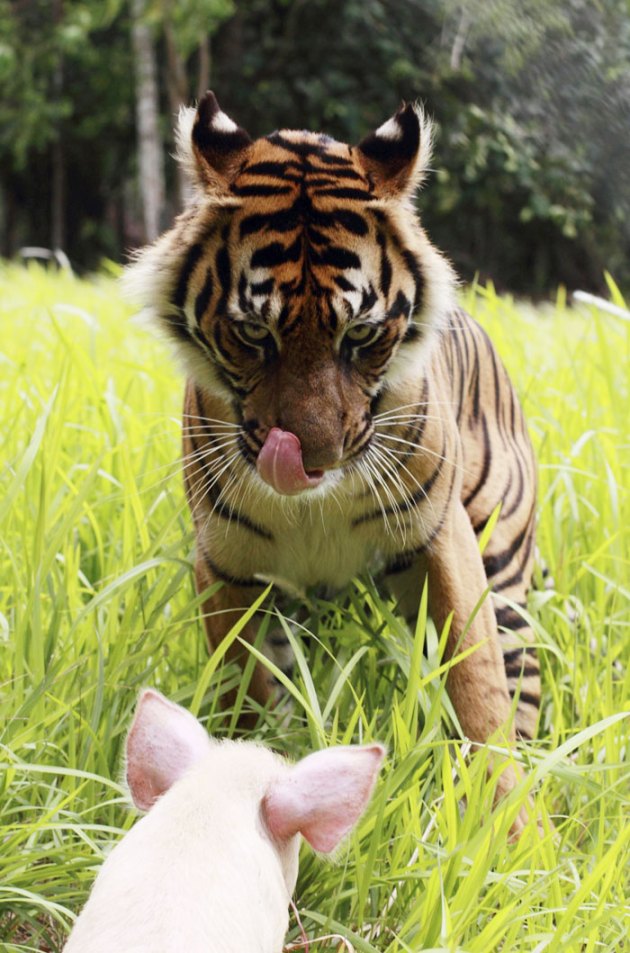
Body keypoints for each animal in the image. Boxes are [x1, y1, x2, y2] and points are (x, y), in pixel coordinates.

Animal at [124, 91, 539, 820]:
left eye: (362, 336)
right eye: (252, 334)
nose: (310, 458)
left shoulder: (442, 540)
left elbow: (478, 690)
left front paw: (507, 826)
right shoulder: (228, 565)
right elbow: (242, 687)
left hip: (507, 571)